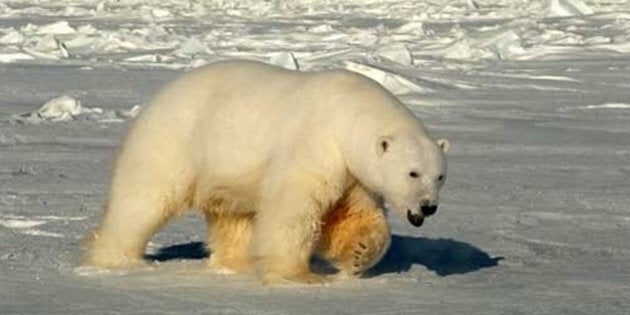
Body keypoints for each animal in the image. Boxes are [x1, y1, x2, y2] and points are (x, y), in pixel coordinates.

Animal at [84, 60, 452, 286]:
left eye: (440, 176)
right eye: (412, 173)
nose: (428, 207)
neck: (349, 115)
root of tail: (160, 96)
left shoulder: (353, 173)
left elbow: (352, 215)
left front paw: (359, 255)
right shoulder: (316, 143)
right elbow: (293, 208)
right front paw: (298, 276)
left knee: (233, 217)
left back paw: (237, 264)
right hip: (175, 141)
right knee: (143, 199)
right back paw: (117, 260)